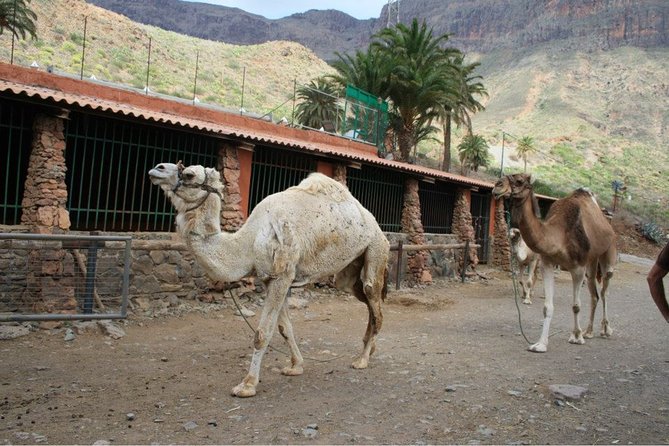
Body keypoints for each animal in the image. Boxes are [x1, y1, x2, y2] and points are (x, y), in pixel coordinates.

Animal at [149, 161, 388, 398]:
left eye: (189, 174)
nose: (157, 168)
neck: (248, 241)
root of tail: (376, 226)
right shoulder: (268, 279)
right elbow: (284, 328)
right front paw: (295, 366)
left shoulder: (282, 276)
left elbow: (262, 333)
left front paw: (247, 385)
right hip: (349, 273)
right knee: (365, 300)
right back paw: (369, 348)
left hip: (375, 249)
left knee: (374, 303)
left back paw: (362, 359)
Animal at [490, 173, 616, 352]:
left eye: (519, 181)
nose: (497, 186)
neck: (559, 235)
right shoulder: (547, 264)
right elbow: (547, 307)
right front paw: (540, 344)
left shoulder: (577, 268)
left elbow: (576, 305)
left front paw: (576, 336)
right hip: (592, 261)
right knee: (594, 294)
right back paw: (589, 332)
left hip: (608, 251)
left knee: (605, 290)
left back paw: (605, 330)